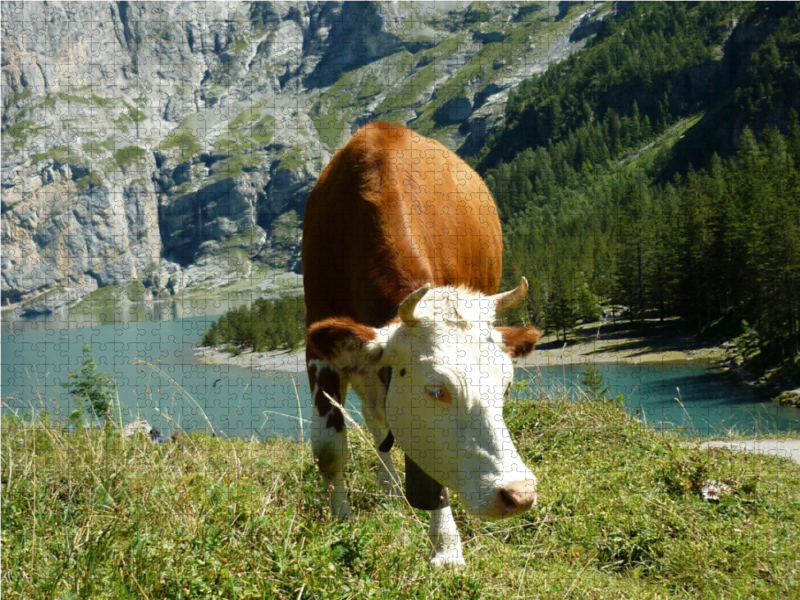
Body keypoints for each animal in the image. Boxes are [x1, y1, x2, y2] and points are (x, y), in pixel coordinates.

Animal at [304, 122, 540, 568]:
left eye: (505, 387)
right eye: (436, 389)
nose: (518, 494)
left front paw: (446, 547)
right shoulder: (319, 341)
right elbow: (329, 448)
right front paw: (339, 522)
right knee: (376, 415)